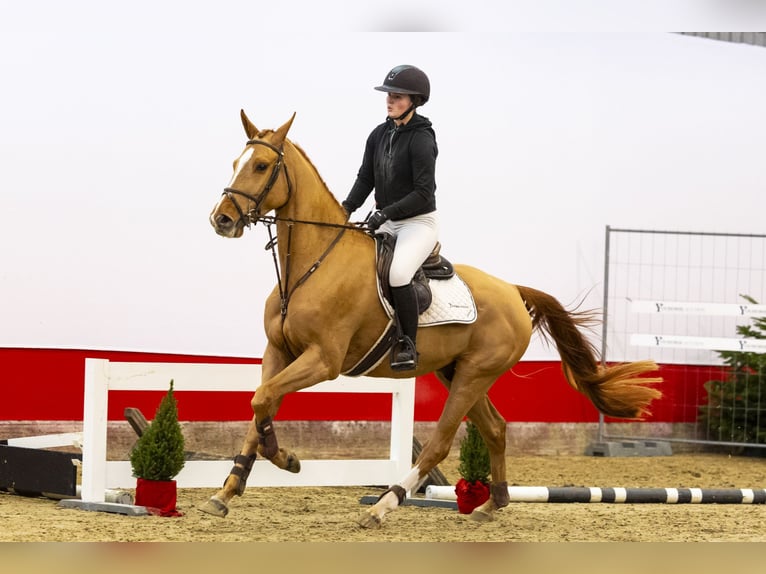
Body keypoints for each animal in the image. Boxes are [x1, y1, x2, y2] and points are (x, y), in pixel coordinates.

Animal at [201, 110, 664, 528]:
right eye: (235, 162)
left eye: (261, 166)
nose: (221, 219)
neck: (313, 263)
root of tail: (513, 291)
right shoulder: (278, 352)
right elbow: (261, 403)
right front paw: (228, 490)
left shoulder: (323, 360)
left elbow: (263, 400)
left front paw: (286, 460)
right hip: (457, 371)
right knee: (496, 429)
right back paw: (491, 504)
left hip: (473, 374)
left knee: (440, 442)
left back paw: (383, 506)